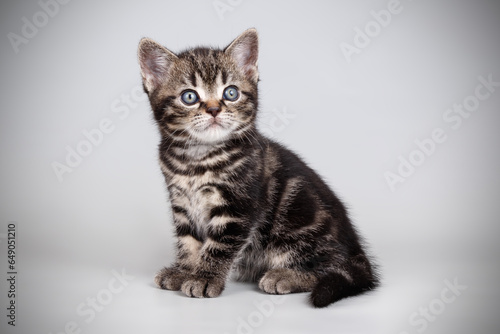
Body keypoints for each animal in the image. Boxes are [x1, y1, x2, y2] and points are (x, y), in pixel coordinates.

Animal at [138, 28, 378, 308]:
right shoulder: (181, 204)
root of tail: (356, 251)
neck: (197, 159)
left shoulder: (238, 207)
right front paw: (184, 270)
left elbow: (218, 247)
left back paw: (284, 276)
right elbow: (188, 242)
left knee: (327, 267)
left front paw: (204, 278)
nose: (214, 109)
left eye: (231, 93)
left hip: (296, 221)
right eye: (189, 97)